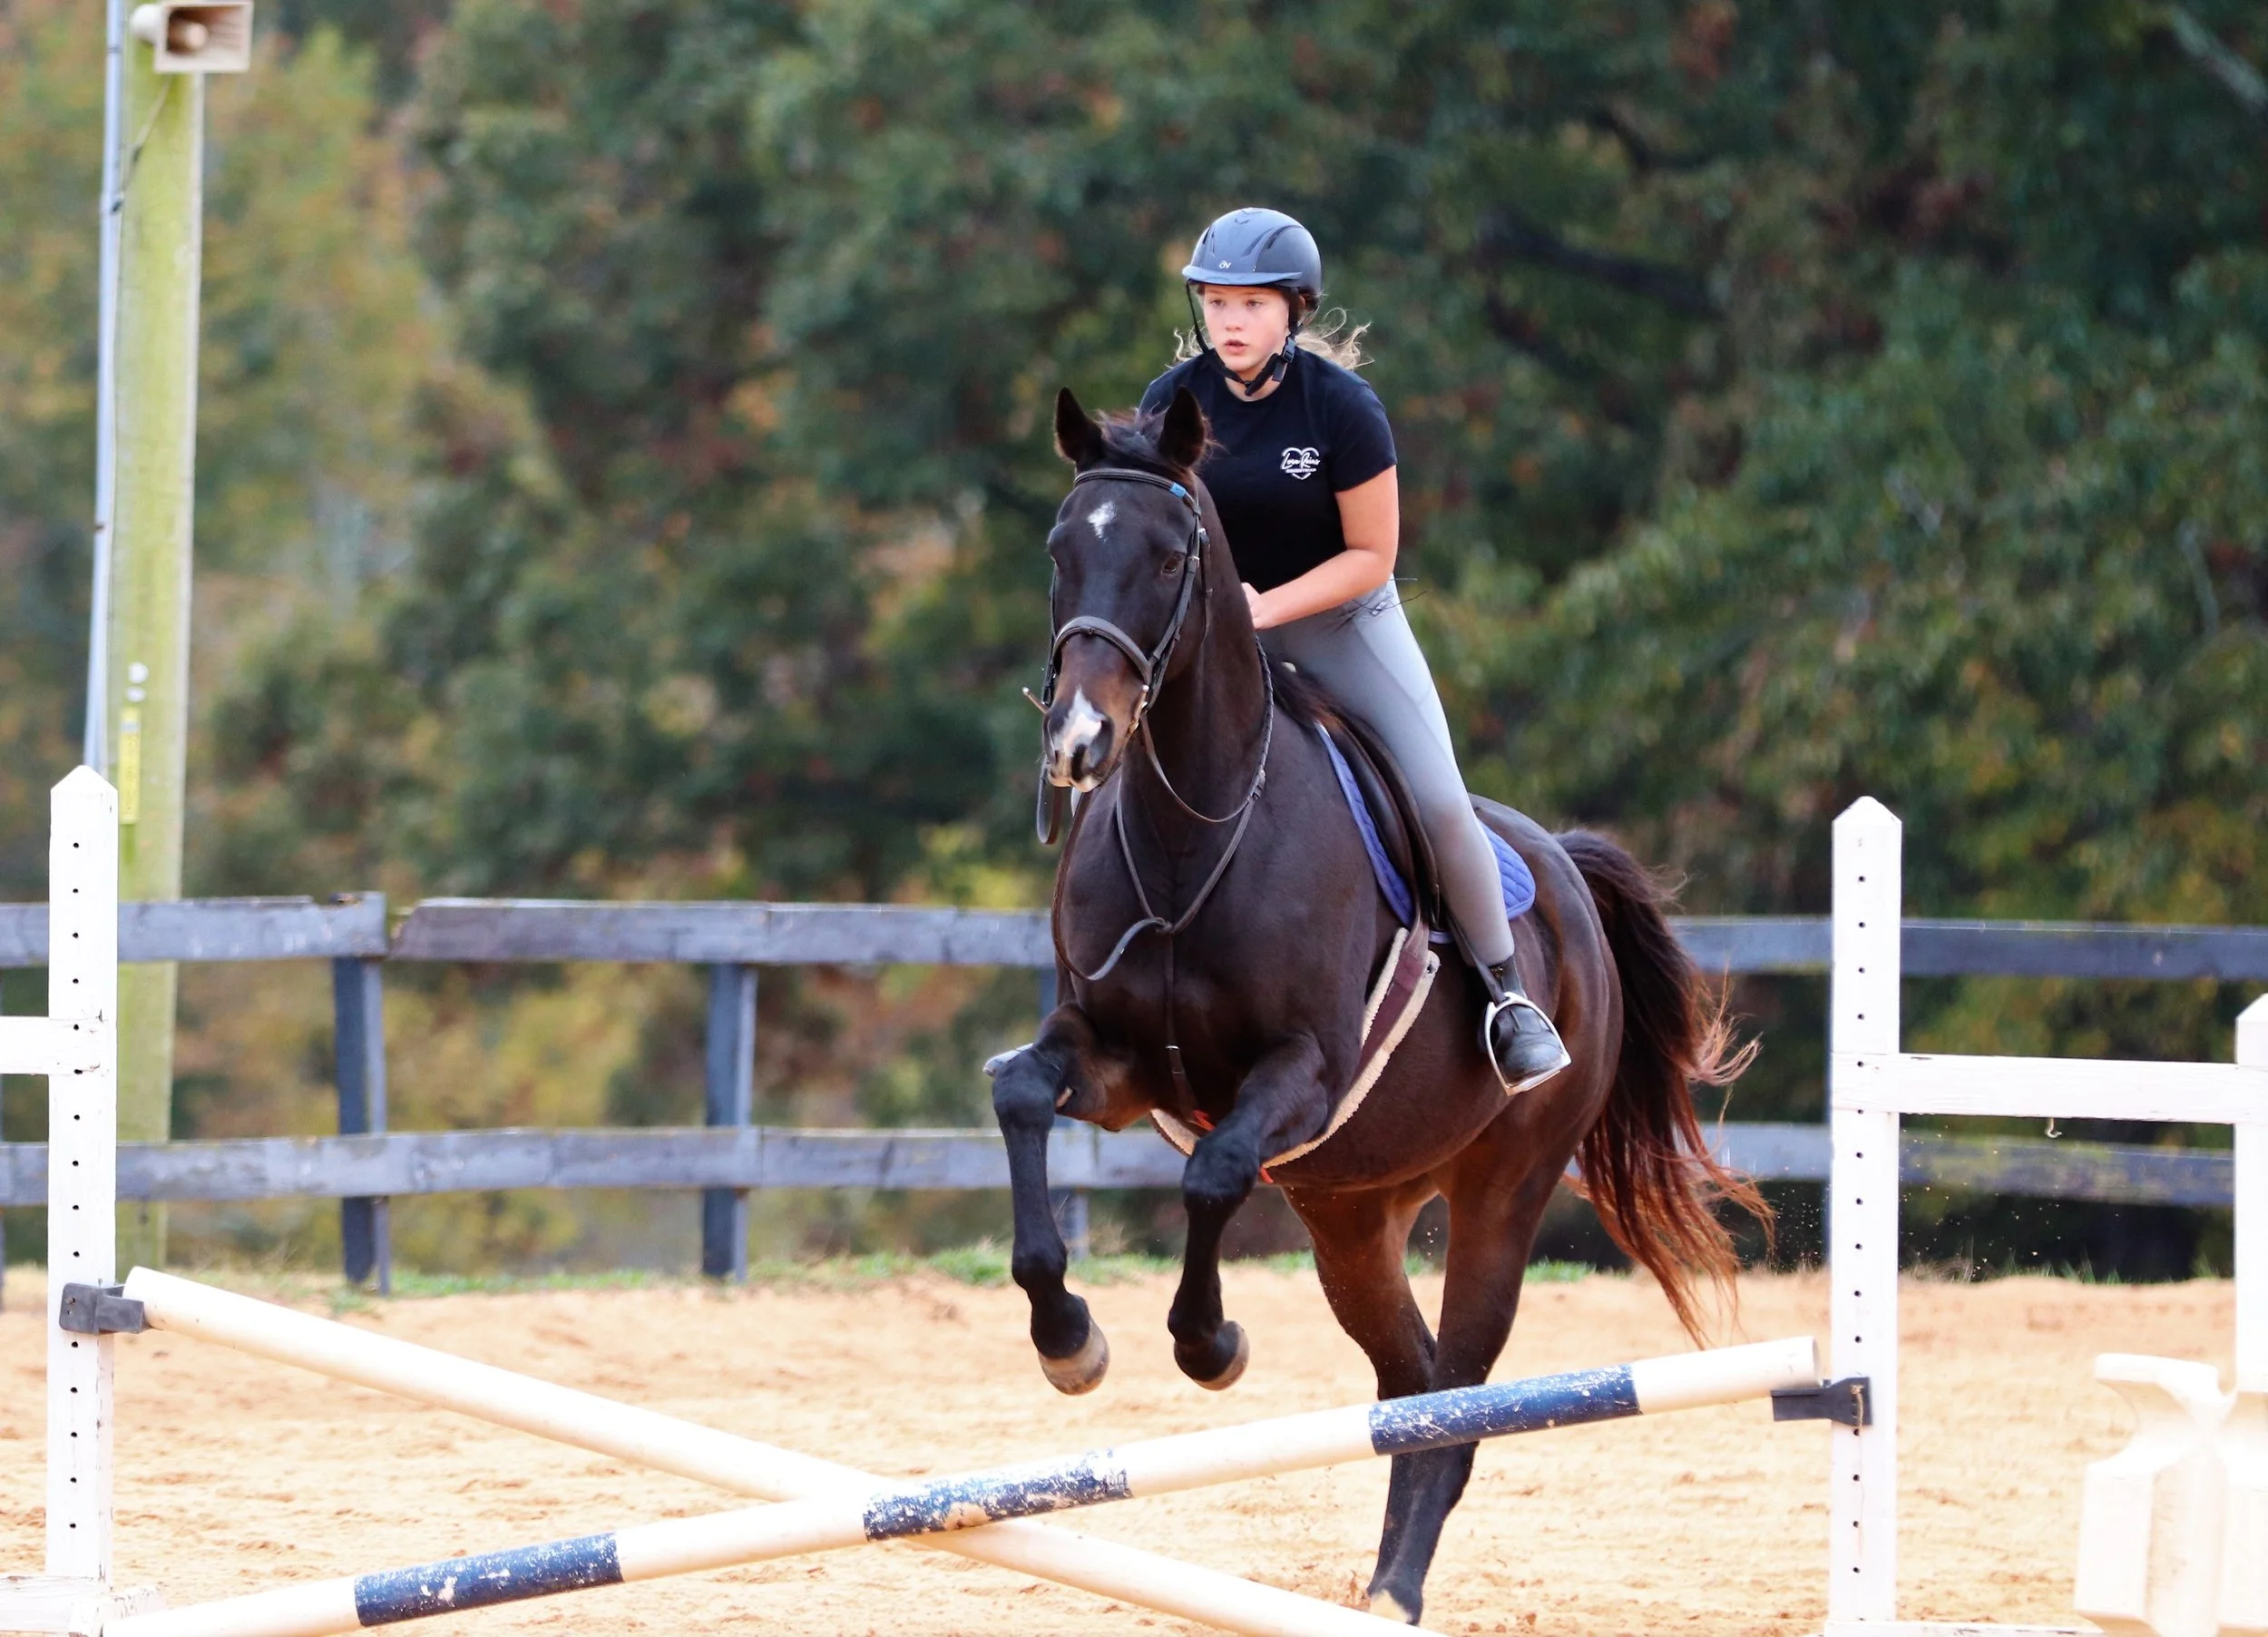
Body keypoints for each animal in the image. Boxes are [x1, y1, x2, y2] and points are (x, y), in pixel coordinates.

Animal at [987, 384, 1767, 1624]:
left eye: (1169, 558)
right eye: (1061, 551)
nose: (1077, 743)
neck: (1193, 828)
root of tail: (1566, 866)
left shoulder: (1300, 1075)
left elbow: (1213, 1174)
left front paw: (1209, 1343)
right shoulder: (1107, 1058)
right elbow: (1019, 1091)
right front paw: (1069, 1339)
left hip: (1500, 1190)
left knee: (1456, 1398)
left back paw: (1397, 1589)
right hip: (1355, 1209)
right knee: (1409, 1384)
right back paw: (1379, 1584)